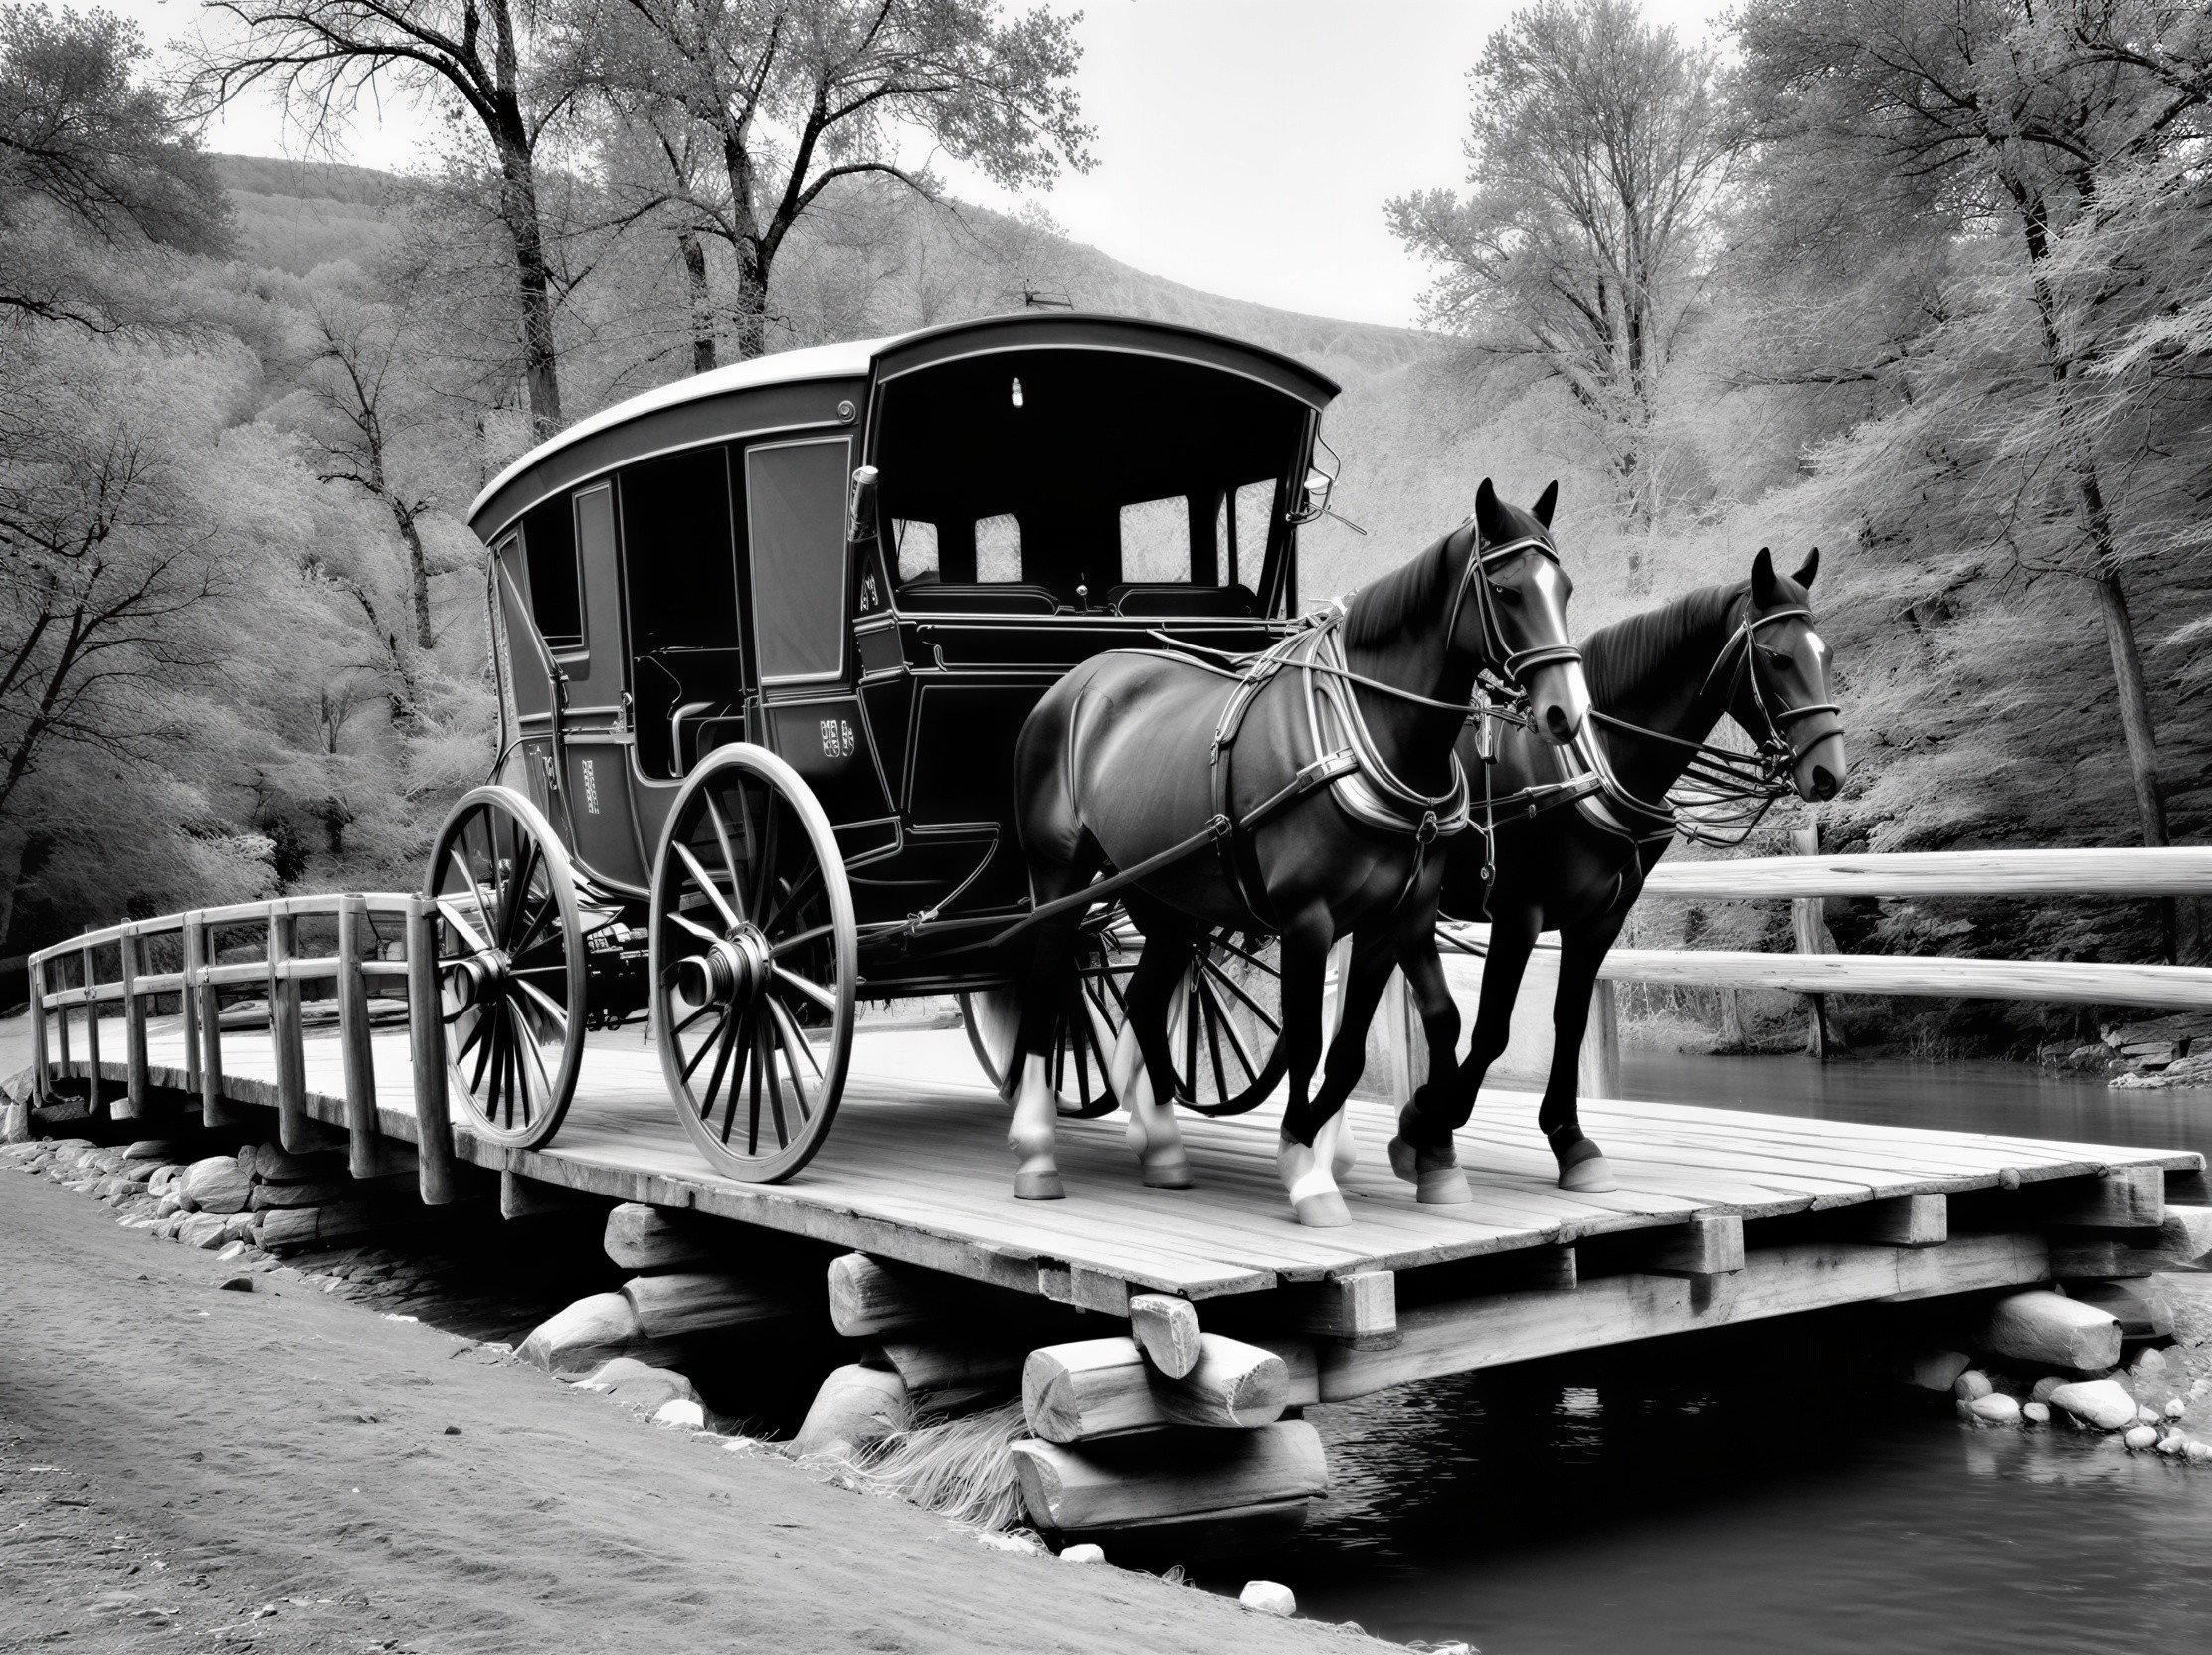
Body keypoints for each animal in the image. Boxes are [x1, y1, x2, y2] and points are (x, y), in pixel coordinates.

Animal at [1007, 480, 1593, 1227]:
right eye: (1506, 588)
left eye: (1565, 587)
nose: (1565, 714)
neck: (1371, 732)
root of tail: (1076, 678)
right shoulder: (1307, 919)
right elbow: (1310, 1040)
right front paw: (1304, 1163)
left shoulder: (1397, 920)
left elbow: (1400, 1034)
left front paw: (1412, 1147)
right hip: (1059, 875)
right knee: (1046, 984)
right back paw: (1036, 1151)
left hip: (1160, 892)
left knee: (1141, 997)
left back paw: (1163, 1147)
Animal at [1380, 546, 1847, 1200]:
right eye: (1778, 657)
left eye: (1823, 653)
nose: (1829, 770)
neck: (1585, 764)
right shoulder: (1517, 915)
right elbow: (1493, 1029)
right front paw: (1428, 1125)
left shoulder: (1599, 920)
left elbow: (1570, 1021)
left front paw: (1569, 1139)